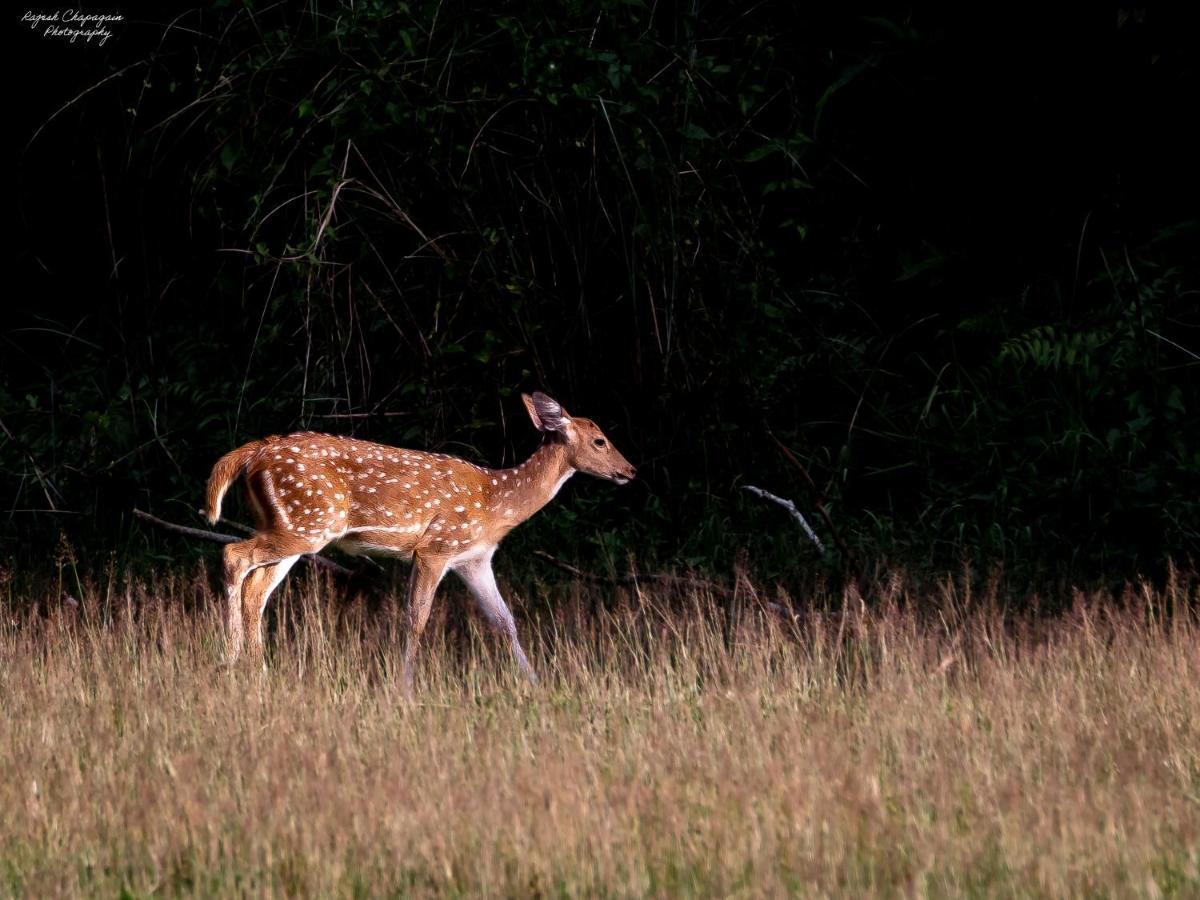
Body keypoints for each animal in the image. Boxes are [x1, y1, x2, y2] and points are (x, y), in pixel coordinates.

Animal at [204, 391, 638, 696]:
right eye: (600, 440)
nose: (630, 470)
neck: (497, 502)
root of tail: (255, 452)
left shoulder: (474, 558)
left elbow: (505, 621)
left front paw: (536, 684)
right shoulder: (436, 546)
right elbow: (417, 618)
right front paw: (405, 687)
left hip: (296, 529)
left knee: (256, 589)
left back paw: (257, 669)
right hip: (307, 523)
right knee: (233, 555)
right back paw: (230, 659)